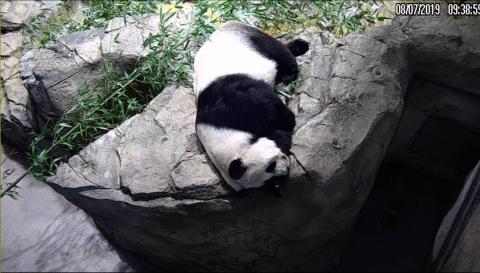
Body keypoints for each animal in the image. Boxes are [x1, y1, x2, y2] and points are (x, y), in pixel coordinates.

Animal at [194, 21, 310, 193]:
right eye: (269, 177)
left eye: (270, 166)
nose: (286, 170)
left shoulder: (232, 106)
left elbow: (269, 106)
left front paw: (287, 122)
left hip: (252, 41)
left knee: (280, 53)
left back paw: (293, 62)